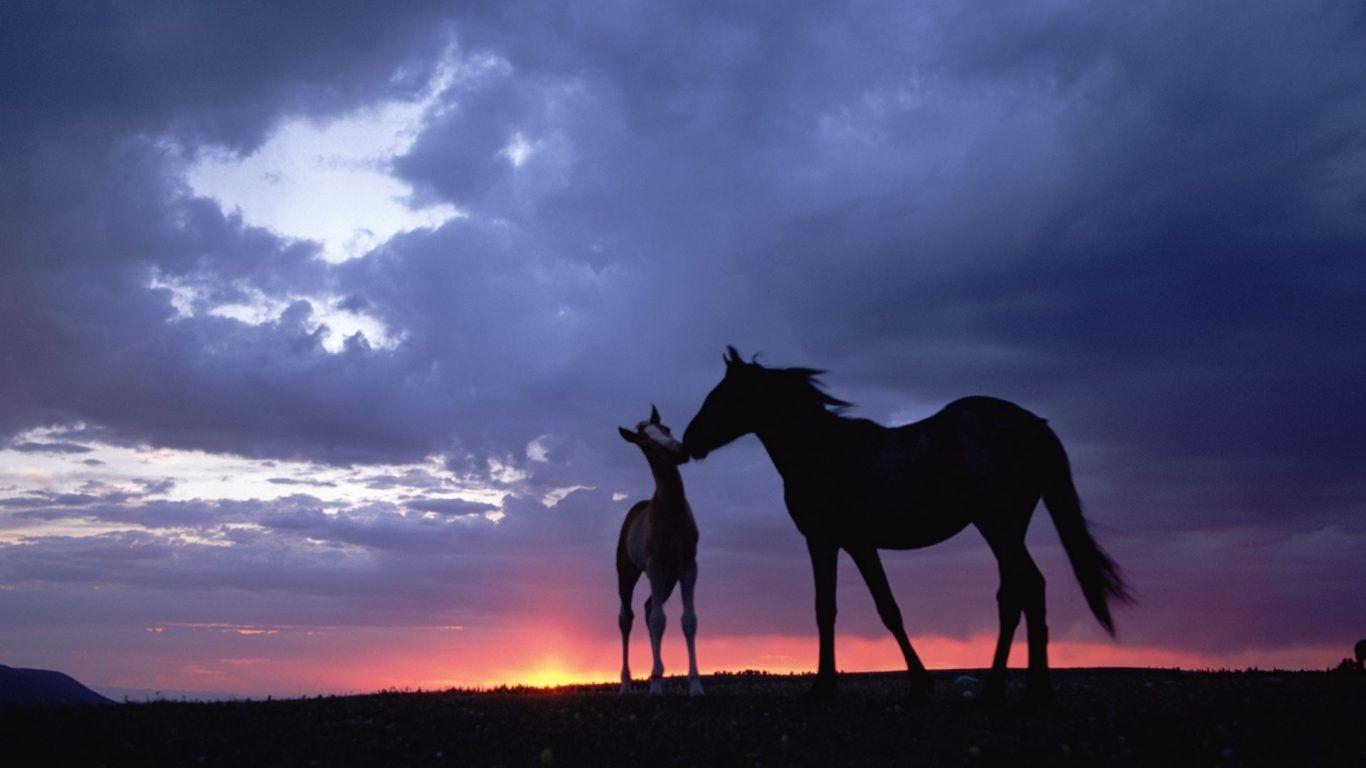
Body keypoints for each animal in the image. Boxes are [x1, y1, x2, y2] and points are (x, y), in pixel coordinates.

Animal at [615, 406, 705, 696]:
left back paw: (657, 674)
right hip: (627, 572)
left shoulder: (688, 565)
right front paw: (654, 686)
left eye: (666, 428)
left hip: (669, 578)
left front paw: (695, 685)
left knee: (647, 608)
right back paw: (627, 684)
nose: (680, 451)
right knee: (627, 617)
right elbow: (658, 620)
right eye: (646, 443)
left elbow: (688, 620)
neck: (671, 512)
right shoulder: (654, 565)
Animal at [682, 347, 1130, 707]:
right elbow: (874, 609)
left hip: (998, 526)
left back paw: (1024, 693)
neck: (820, 451)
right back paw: (1005, 691)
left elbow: (841, 609)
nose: (690, 440)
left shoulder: (829, 541)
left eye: (724, 396)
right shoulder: (852, 545)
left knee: (1028, 588)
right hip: (1006, 529)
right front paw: (910, 685)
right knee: (1014, 595)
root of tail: (1035, 425)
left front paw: (829, 689)